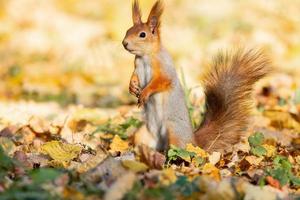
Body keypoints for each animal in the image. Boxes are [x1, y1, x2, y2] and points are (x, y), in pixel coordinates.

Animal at [120, 0, 270, 153]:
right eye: (127, 30)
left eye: (142, 35)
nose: (124, 43)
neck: (145, 57)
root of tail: (193, 142)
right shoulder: (137, 67)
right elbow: (134, 77)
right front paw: (132, 87)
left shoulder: (165, 69)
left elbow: (161, 82)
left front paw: (145, 92)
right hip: (143, 133)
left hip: (174, 132)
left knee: (181, 152)